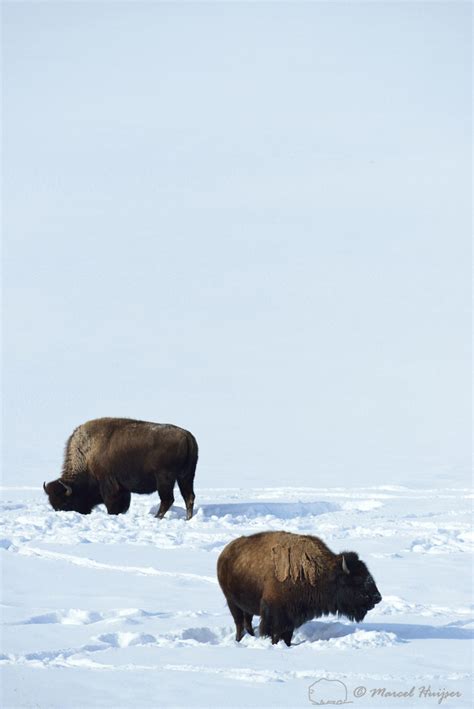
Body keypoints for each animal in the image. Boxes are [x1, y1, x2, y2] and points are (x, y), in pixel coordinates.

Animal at [43, 414, 198, 520]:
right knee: (188, 496)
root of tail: (186, 435)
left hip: (165, 478)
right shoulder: (123, 488)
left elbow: (112, 504)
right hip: (186, 476)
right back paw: (188, 519)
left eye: (65, 503)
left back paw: (157, 517)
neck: (87, 455)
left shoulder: (109, 484)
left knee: (167, 499)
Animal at [218, 528, 382, 644]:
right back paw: (239, 640)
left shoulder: (291, 617)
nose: (377, 597)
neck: (320, 573)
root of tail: (225, 552)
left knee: (247, 622)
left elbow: (287, 636)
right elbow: (276, 635)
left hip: (246, 606)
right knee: (239, 624)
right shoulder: (276, 616)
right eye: (357, 579)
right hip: (232, 603)